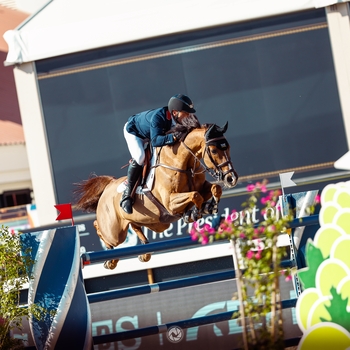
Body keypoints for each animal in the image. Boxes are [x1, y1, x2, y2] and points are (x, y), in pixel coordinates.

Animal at [74, 121, 238, 270]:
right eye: (214, 151)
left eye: (228, 146)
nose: (232, 178)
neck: (181, 163)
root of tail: (109, 185)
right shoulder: (170, 203)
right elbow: (195, 196)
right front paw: (194, 213)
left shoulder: (202, 187)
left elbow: (215, 188)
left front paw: (210, 207)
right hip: (114, 232)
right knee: (99, 226)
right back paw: (110, 260)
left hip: (155, 223)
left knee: (135, 226)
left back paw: (144, 253)